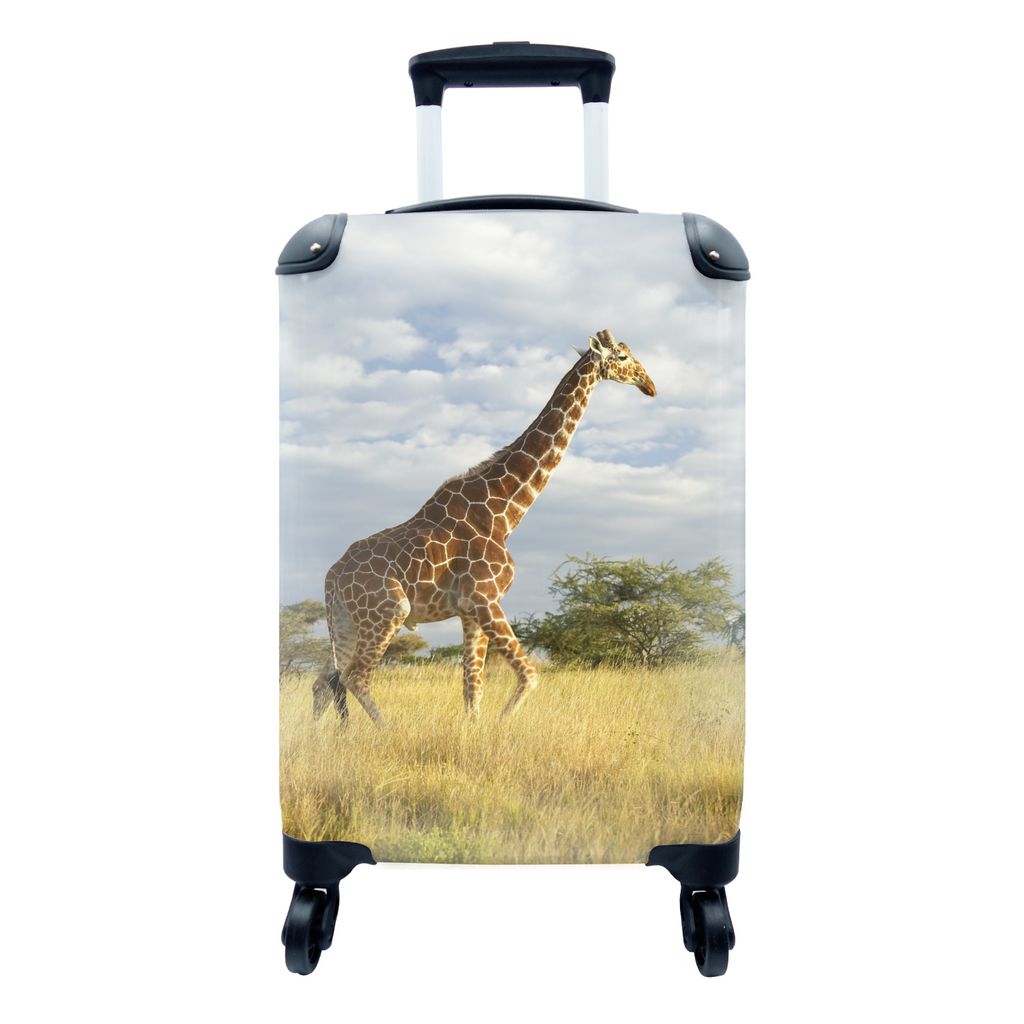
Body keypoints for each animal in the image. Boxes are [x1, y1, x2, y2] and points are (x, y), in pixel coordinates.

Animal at [311, 329, 657, 725]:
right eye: (623, 357)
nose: (650, 385)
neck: (504, 511)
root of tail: (331, 576)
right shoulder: (484, 598)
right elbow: (529, 675)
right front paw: (500, 727)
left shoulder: (469, 610)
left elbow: (472, 687)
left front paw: (474, 730)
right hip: (388, 611)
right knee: (354, 676)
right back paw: (388, 731)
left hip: (346, 621)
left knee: (324, 681)